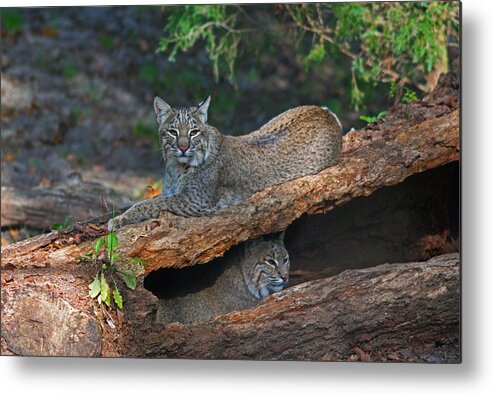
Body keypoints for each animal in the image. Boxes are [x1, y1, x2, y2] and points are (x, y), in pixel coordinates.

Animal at [108, 96, 340, 230]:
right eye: (173, 132)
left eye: (193, 132)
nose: (183, 148)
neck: (176, 166)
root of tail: (323, 112)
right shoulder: (173, 193)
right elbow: (148, 200)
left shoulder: (196, 201)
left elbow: (149, 203)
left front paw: (118, 220)